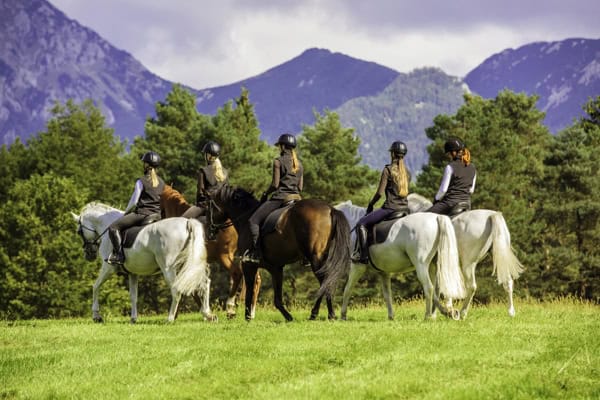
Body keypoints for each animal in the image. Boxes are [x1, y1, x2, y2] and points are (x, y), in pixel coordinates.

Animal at [72, 202, 216, 324]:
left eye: (79, 232)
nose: (89, 254)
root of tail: (187, 222)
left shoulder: (108, 267)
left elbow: (95, 286)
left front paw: (96, 316)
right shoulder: (132, 273)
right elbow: (133, 296)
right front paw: (133, 319)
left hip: (169, 268)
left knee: (176, 290)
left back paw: (170, 319)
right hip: (189, 266)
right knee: (205, 284)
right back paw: (208, 315)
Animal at [210, 185, 352, 322]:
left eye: (208, 206)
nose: (211, 230)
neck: (245, 217)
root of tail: (330, 209)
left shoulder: (248, 265)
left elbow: (249, 291)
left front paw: (247, 317)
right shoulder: (275, 268)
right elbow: (277, 299)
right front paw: (288, 317)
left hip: (315, 259)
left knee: (324, 282)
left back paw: (322, 314)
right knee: (327, 281)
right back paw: (322, 314)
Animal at [336, 202, 466, 320]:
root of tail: (436, 217)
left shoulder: (357, 266)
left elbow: (347, 289)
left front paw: (343, 315)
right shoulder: (383, 272)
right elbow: (387, 294)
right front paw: (391, 316)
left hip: (421, 265)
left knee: (429, 287)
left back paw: (428, 316)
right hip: (433, 266)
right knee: (436, 289)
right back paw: (438, 314)